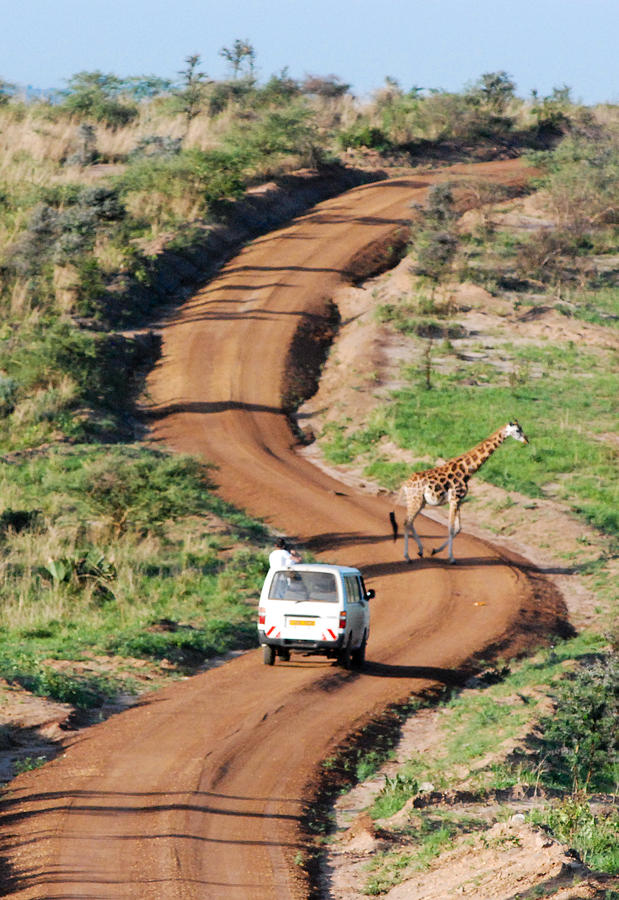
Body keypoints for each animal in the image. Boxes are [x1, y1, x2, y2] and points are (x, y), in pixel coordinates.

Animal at [392, 422, 528, 564]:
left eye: (521, 429)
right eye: (517, 430)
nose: (526, 440)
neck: (467, 471)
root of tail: (405, 484)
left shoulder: (459, 501)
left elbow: (458, 528)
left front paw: (436, 551)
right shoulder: (454, 499)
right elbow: (451, 528)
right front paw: (451, 558)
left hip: (421, 501)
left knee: (410, 522)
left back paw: (420, 550)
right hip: (415, 499)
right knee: (407, 522)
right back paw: (407, 556)